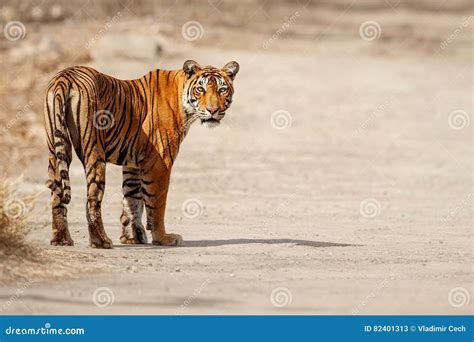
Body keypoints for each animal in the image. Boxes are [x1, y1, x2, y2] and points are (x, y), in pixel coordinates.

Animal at [43, 60, 239, 248]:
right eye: (200, 89)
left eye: (222, 90)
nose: (213, 111)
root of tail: (65, 76)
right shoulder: (159, 163)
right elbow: (156, 204)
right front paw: (163, 238)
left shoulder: (133, 163)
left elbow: (132, 200)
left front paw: (132, 238)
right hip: (94, 150)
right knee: (92, 199)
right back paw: (101, 241)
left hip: (56, 148)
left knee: (57, 197)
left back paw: (61, 240)